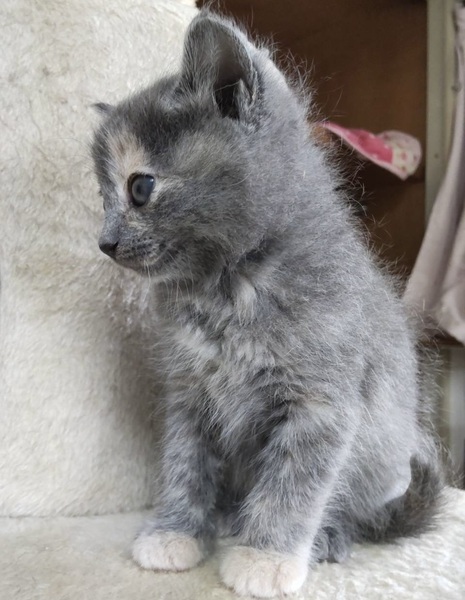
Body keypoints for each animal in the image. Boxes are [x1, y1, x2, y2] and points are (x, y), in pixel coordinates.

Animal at [91, 11, 444, 598]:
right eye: (102, 200)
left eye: (140, 188)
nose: (105, 242)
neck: (226, 291)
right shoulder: (189, 393)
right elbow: (184, 465)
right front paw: (175, 531)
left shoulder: (320, 401)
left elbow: (294, 483)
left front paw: (265, 557)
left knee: (356, 512)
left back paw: (326, 537)